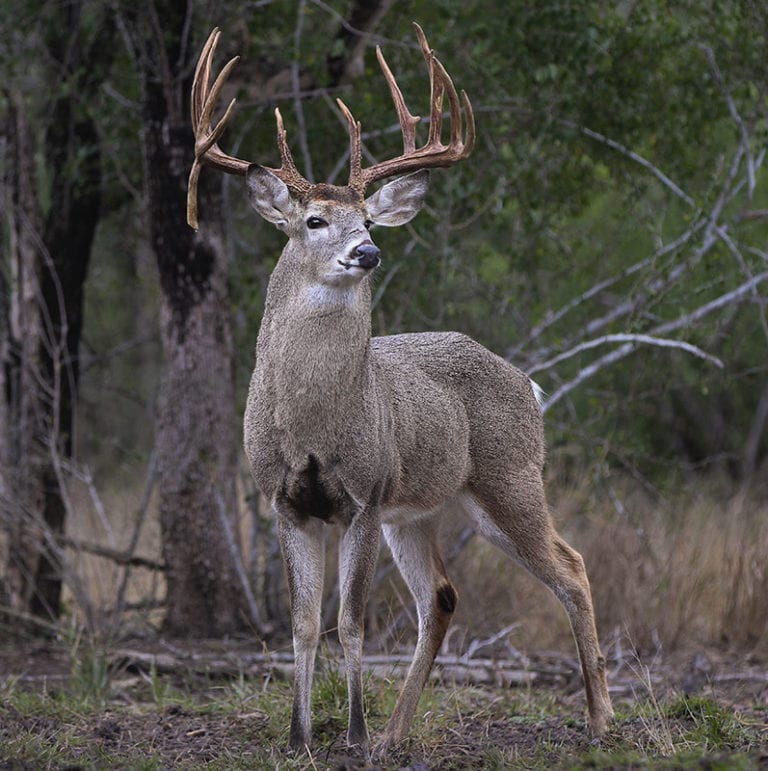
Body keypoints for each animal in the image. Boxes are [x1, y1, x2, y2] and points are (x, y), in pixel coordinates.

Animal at [186, 22, 612, 752]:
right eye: (315, 221)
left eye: (368, 220)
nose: (368, 251)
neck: (310, 425)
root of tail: (527, 384)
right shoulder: (284, 500)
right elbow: (303, 623)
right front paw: (300, 738)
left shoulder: (362, 494)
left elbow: (350, 621)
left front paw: (351, 736)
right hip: (417, 510)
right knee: (440, 595)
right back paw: (396, 733)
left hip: (507, 477)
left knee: (572, 566)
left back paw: (601, 719)